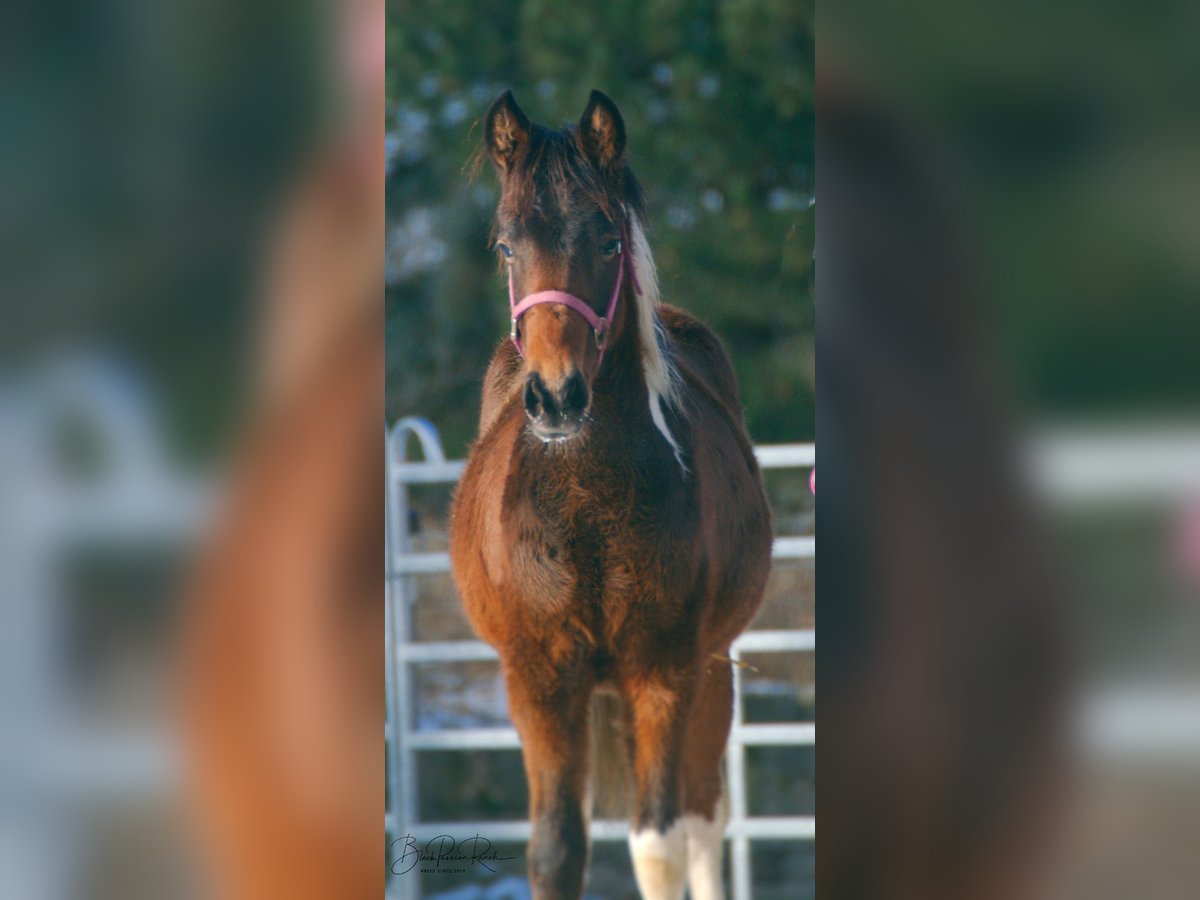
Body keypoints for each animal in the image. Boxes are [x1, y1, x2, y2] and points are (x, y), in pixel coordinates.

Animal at [451, 90, 777, 900]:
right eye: (506, 246)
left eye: (606, 241)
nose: (557, 398)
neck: (587, 507)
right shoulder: (538, 677)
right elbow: (557, 850)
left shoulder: (665, 670)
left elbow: (659, 845)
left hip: (708, 671)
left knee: (701, 819)